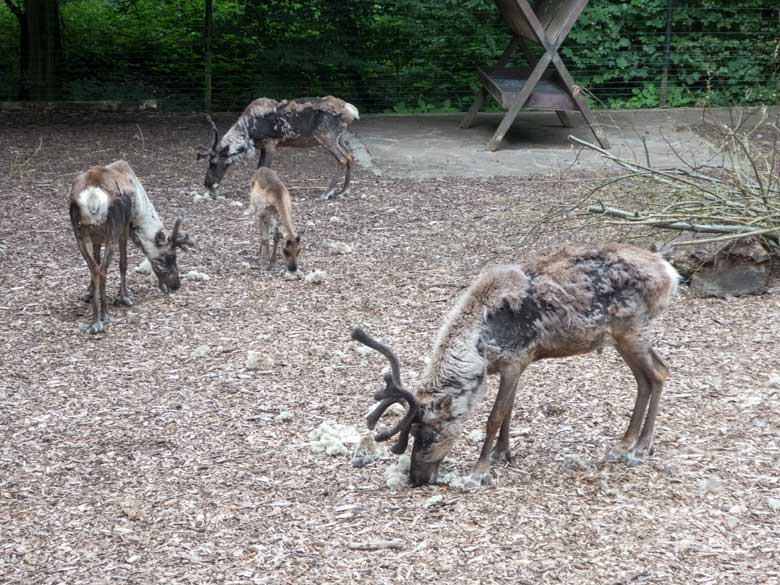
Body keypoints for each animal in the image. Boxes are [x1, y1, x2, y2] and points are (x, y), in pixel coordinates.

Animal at [350, 242, 680, 488]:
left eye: (429, 435)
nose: (416, 478)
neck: (480, 349)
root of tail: (670, 274)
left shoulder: (513, 362)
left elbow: (495, 416)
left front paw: (479, 472)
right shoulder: (518, 363)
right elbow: (509, 411)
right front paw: (502, 454)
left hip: (633, 331)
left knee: (659, 374)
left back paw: (640, 448)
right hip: (624, 338)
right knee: (646, 378)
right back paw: (623, 445)